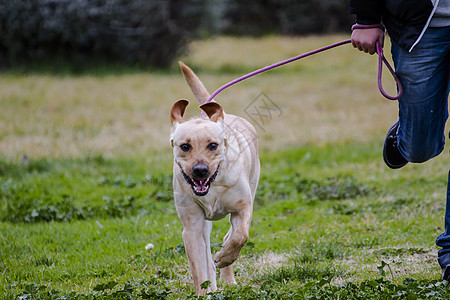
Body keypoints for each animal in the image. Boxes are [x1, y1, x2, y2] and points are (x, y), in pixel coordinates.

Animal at [170, 61, 260, 296]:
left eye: (213, 145)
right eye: (185, 146)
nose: (200, 170)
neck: (213, 186)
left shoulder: (242, 208)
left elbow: (240, 236)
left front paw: (225, 256)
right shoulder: (192, 225)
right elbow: (198, 268)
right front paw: (204, 292)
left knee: (230, 236)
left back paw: (227, 274)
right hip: (203, 226)